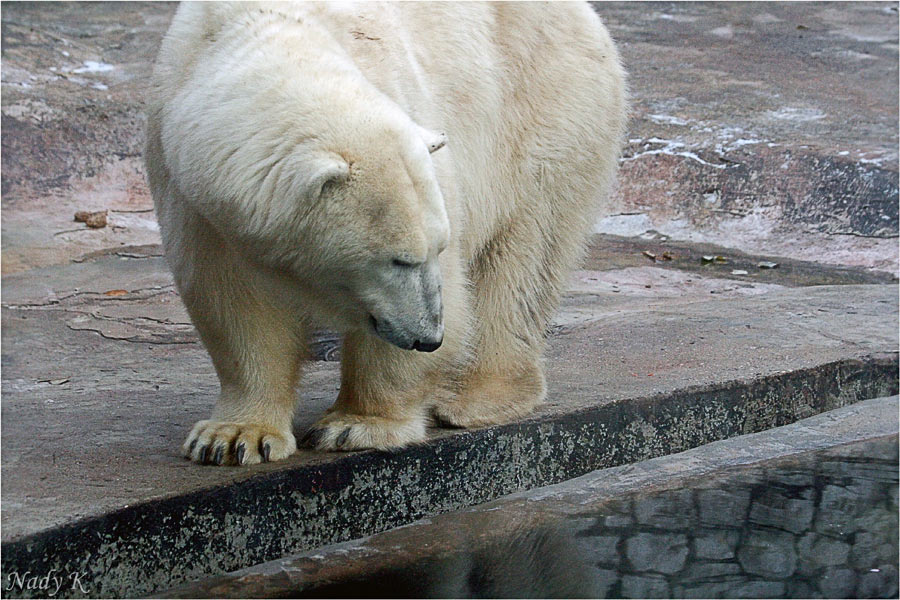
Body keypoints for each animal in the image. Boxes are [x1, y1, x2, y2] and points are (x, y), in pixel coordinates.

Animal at [146, 1, 624, 464]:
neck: (268, 32)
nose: (429, 338)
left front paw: (357, 426)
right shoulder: (195, 195)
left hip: (543, 113)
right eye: (399, 259)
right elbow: (234, 299)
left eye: (436, 248)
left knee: (524, 257)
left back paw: (474, 397)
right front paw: (234, 438)